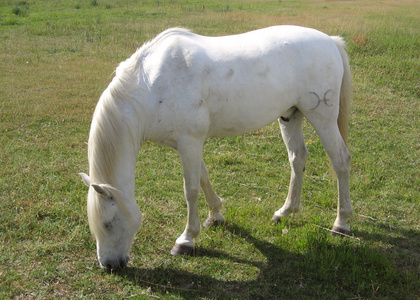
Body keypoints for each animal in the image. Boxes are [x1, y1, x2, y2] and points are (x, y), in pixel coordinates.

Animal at [79, 26, 352, 272]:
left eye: (108, 223)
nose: (109, 265)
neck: (152, 85)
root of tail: (331, 40)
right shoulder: (187, 145)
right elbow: (203, 178)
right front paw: (216, 216)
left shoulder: (189, 142)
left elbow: (190, 190)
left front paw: (186, 240)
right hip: (290, 116)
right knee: (298, 159)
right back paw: (285, 212)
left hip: (322, 117)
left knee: (340, 161)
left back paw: (341, 224)